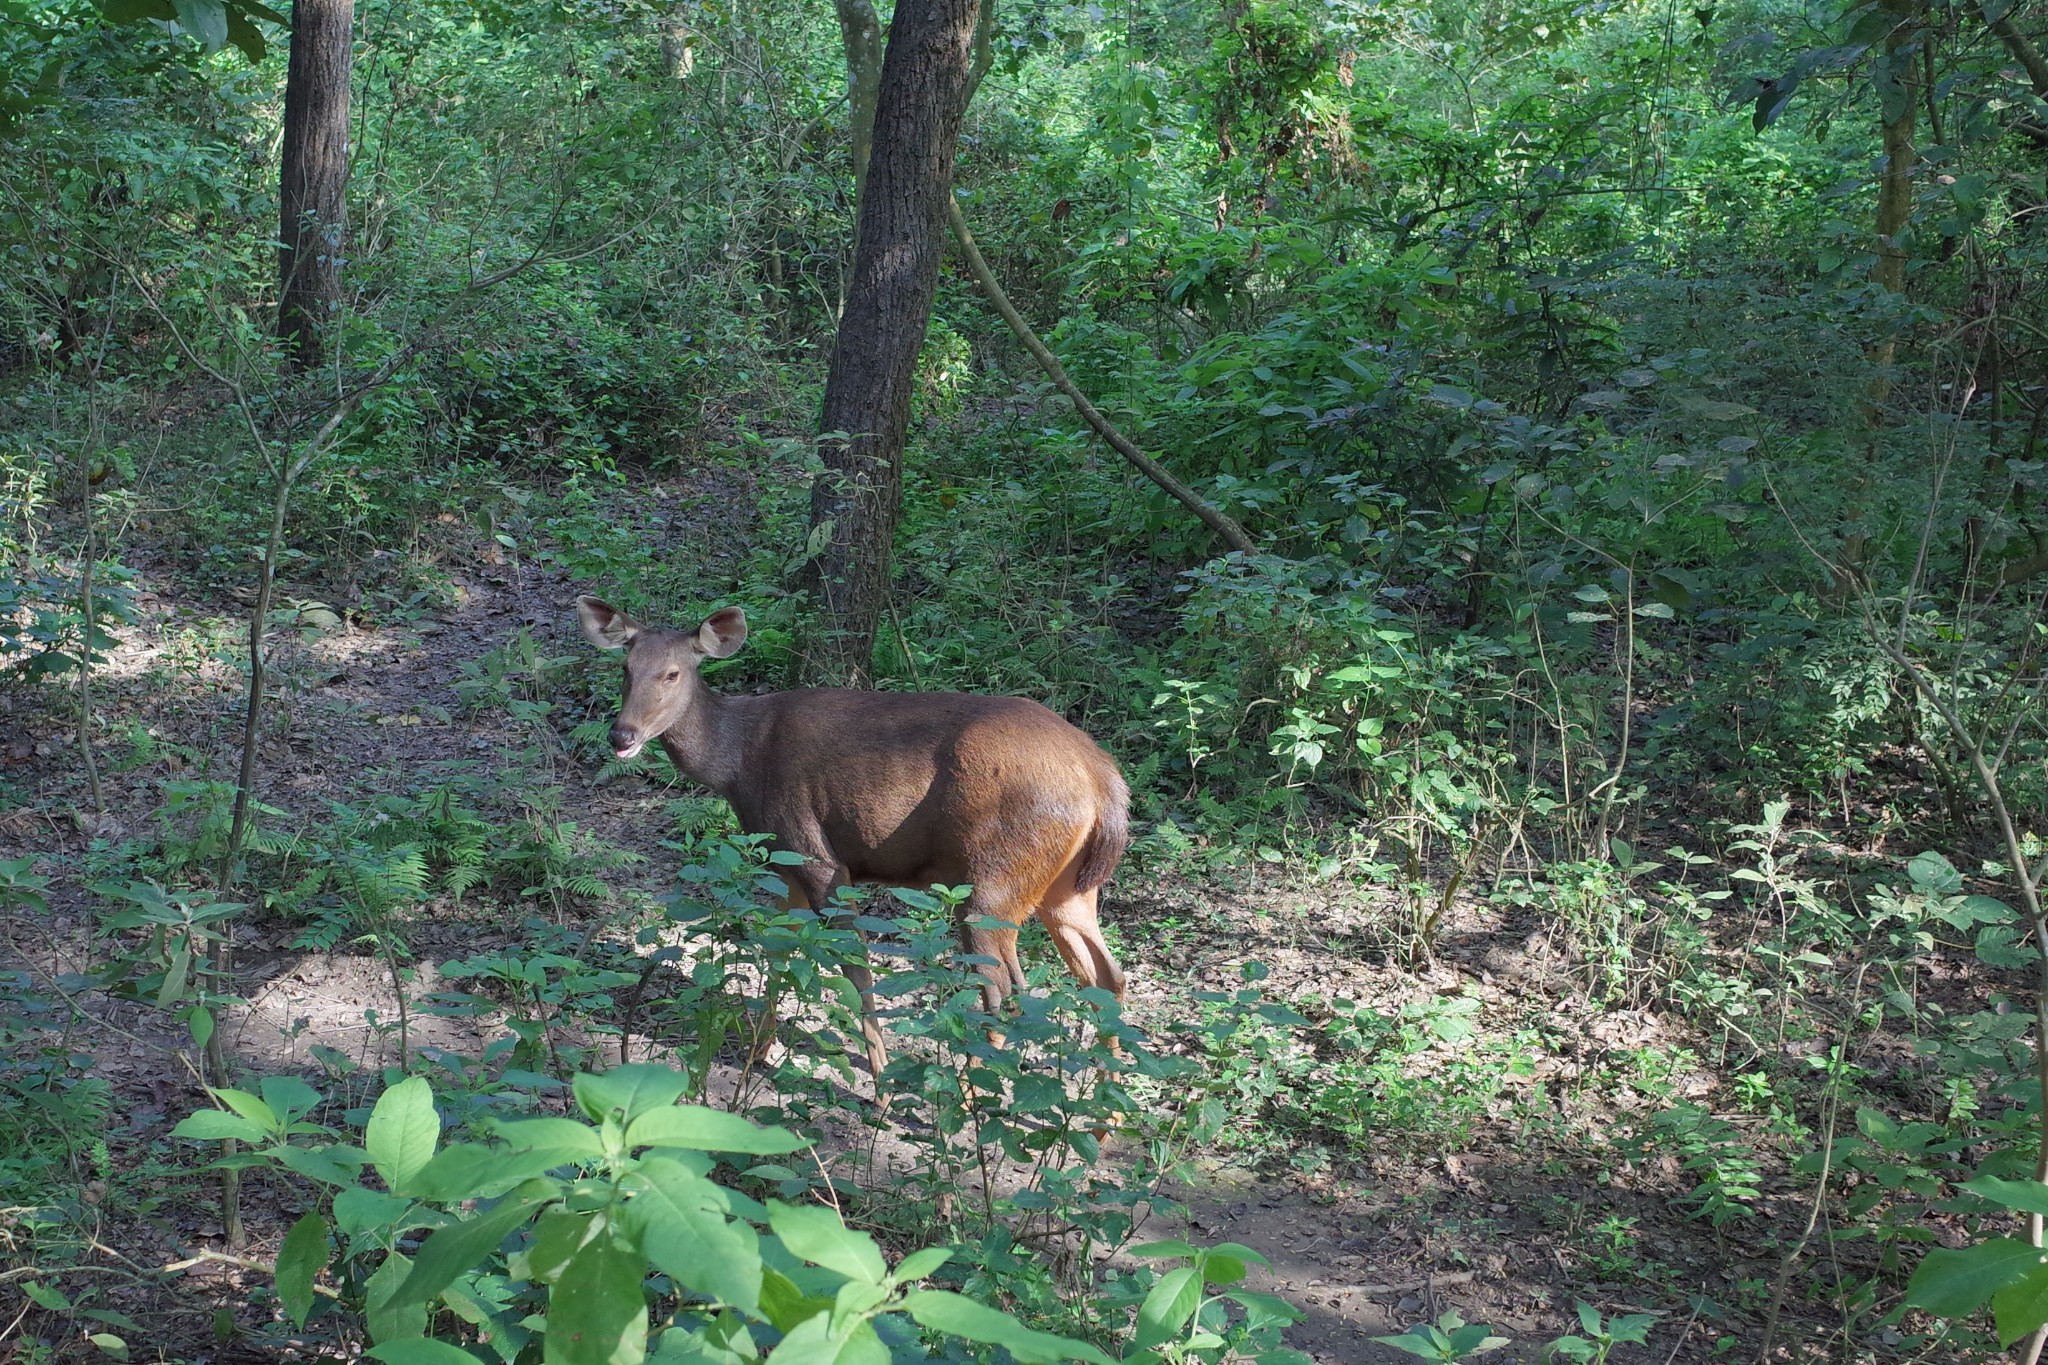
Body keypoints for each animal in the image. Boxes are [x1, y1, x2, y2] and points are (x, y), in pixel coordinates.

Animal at [569, 597, 1130, 1080]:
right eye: (625, 668)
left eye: (673, 672)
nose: (621, 735)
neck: (737, 764)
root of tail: (1104, 780)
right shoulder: (783, 862)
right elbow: (779, 955)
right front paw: (757, 1054)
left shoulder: (818, 856)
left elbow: (855, 968)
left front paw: (880, 1078)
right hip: (1066, 888)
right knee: (1105, 977)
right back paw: (1105, 1112)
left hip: (995, 880)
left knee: (1001, 988)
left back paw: (971, 1097)